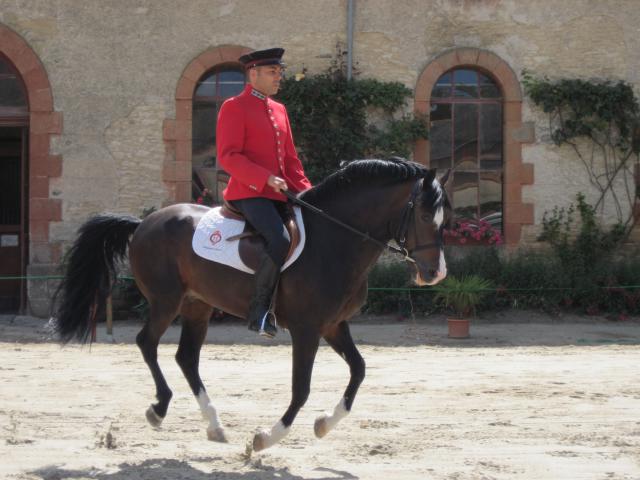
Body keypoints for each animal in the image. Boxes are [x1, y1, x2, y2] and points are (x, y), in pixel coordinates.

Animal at [55, 158, 452, 454]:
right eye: (422, 216)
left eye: (444, 219)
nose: (435, 273)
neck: (334, 239)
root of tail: (143, 223)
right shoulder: (307, 329)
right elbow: (301, 388)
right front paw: (265, 438)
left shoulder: (333, 325)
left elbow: (359, 369)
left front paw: (324, 424)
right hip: (166, 301)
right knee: (147, 343)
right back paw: (159, 408)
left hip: (197, 305)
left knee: (186, 357)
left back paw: (214, 425)